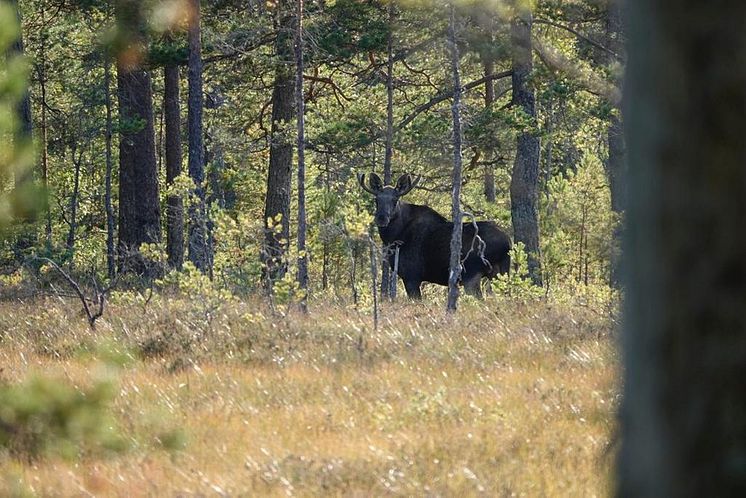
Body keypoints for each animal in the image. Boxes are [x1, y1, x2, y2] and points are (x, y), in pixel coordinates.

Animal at [356, 173, 508, 298]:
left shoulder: (411, 276)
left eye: (395, 200)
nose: (381, 218)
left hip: (471, 275)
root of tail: (508, 242)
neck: (394, 238)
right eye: (376, 199)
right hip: (501, 271)